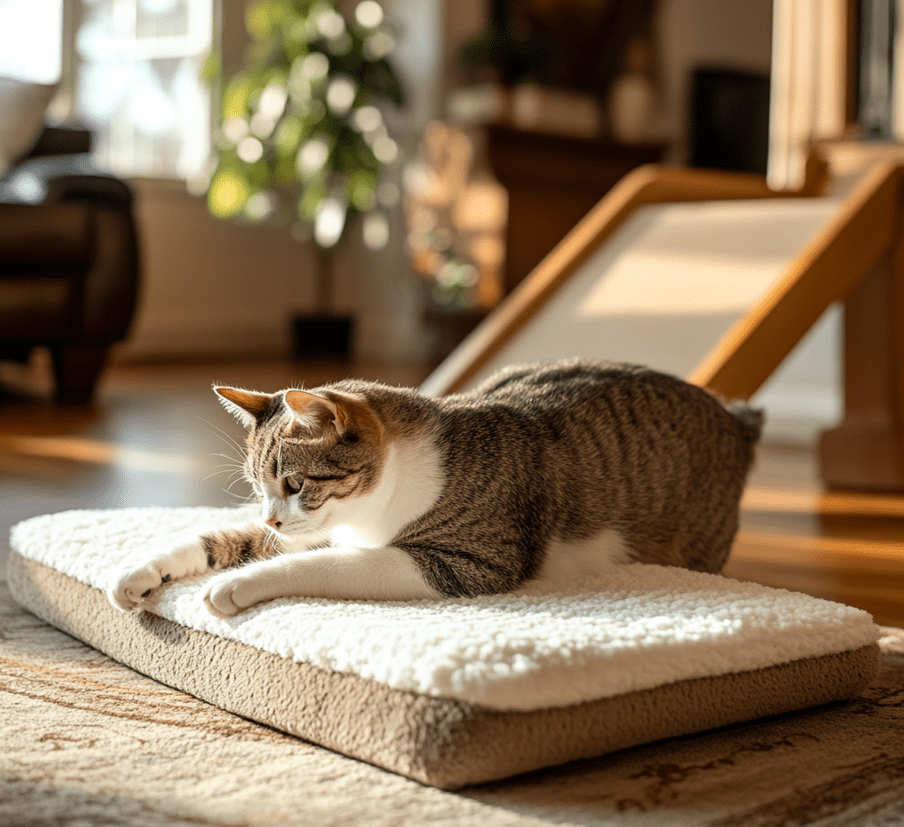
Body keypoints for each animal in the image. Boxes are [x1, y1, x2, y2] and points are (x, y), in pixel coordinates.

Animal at [109, 360, 768, 616]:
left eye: (294, 483)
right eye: (257, 486)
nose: (273, 517)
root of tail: (735, 416)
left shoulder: (467, 562)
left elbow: (326, 564)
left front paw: (236, 586)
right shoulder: (309, 530)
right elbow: (222, 537)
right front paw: (141, 573)